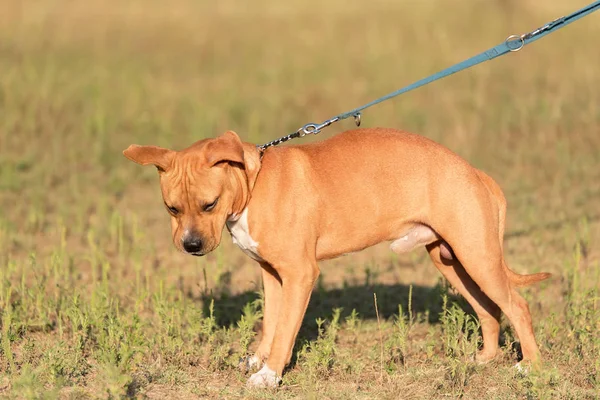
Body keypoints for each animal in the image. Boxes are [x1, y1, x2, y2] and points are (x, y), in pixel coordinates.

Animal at [124, 128, 552, 388]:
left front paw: (270, 375)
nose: (191, 245)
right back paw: (484, 360)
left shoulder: (299, 275)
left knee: (517, 306)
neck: (254, 184)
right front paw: (258, 361)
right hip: (452, 261)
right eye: (172, 209)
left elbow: (285, 331)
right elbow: (270, 325)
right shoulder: (272, 275)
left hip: (477, 256)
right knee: (489, 310)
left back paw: (530, 366)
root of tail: (474, 172)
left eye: (208, 204)